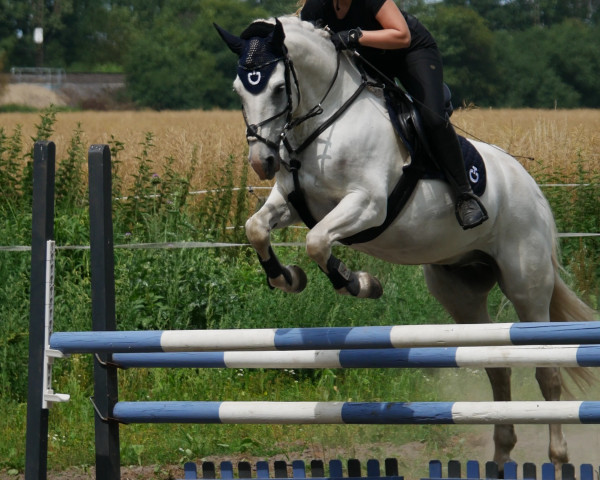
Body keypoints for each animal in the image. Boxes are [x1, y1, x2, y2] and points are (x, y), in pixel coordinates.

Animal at [214, 14, 596, 468]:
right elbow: (257, 228)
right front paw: (287, 277)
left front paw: (359, 283)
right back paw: (500, 455)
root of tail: (533, 188)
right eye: (239, 90)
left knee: (546, 369)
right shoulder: (291, 203)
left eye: (276, 87)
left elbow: (318, 242)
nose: (262, 162)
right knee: (495, 365)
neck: (323, 126)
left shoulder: (367, 205)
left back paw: (558, 456)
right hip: (459, 289)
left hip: (526, 282)